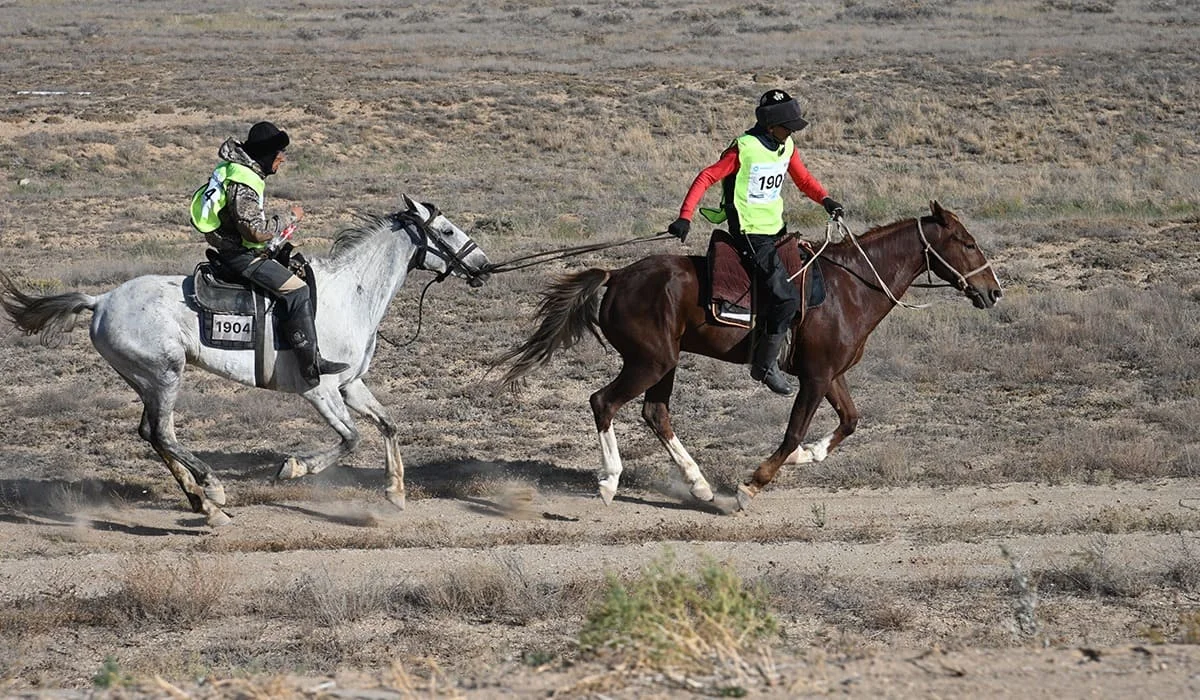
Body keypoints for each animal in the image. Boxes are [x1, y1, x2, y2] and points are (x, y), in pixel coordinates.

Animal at [0, 195, 489, 525]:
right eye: (446, 231)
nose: (483, 265)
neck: (350, 294)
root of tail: (99, 301)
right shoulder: (320, 390)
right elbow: (351, 440)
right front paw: (293, 468)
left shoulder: (350, 385)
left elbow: (387, 425)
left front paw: (395, 492)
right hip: (165, 375)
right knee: (163, 433)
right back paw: (213, 491)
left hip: (147, 380)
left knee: (152, 435)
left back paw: (203, 504)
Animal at [496, 201, 1003, 509]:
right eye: (967, 242)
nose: (993, 291)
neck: (850, 286)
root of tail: (617, 275)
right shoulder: (814, 378)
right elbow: (794, 431)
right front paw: (752, 484)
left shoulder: (830, 374)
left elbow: (849, 422)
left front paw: (806, 458)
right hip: (649, 362)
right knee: (603, 402)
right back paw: (610, 481)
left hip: (664, 363)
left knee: (655, 413)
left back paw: (699, 485)